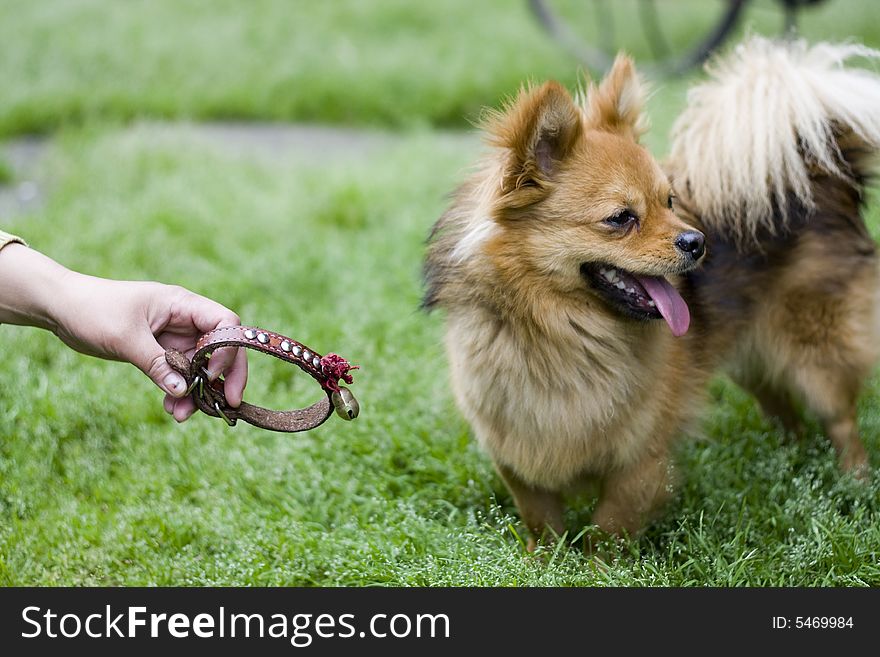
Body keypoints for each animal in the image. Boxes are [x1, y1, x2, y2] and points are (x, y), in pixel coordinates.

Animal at [422, 37, 880, 548]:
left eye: (670, 202)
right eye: (621, 218)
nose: (698, 241)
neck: (561, 332)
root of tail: (817, 171)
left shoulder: (641, 459)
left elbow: (608, 528)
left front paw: (596, 563)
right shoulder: (517, 455)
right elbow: (542, 523)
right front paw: (546, 559)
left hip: (817, 357)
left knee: (841, 422)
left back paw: (854, 484)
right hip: (752, 359)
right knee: (785, 412)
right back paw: (788, 462)